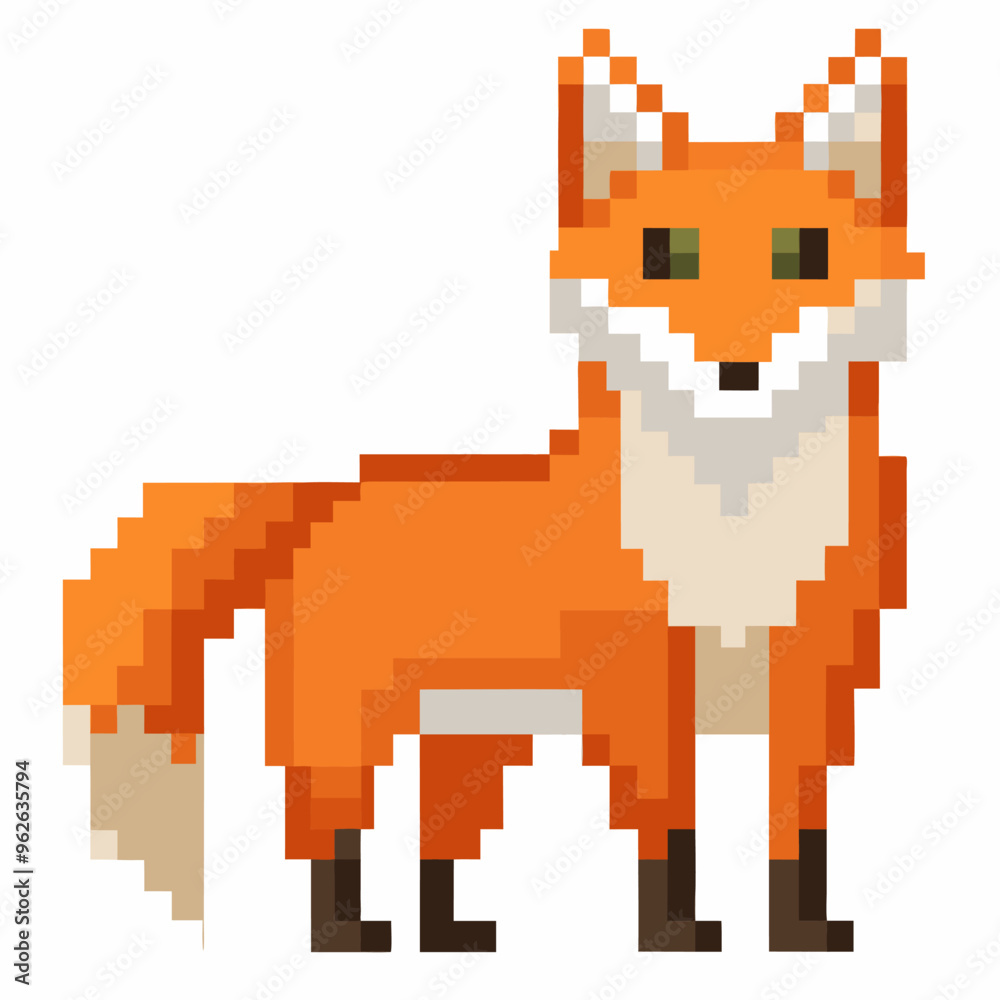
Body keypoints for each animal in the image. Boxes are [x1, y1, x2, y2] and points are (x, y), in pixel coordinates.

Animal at [63, 27, 923, 954]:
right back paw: (346, 934)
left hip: (474, 744)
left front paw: (801, 931)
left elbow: (800, 830)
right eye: (665, 256)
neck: (737, 535)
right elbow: (669, 830)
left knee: (437, 839)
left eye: (805, 254)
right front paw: (676, 934)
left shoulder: (815, 681)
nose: (737, 369)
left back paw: (453, 935)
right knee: (326, 830)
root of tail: (326, 493)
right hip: (344, 735)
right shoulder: (642, 690)